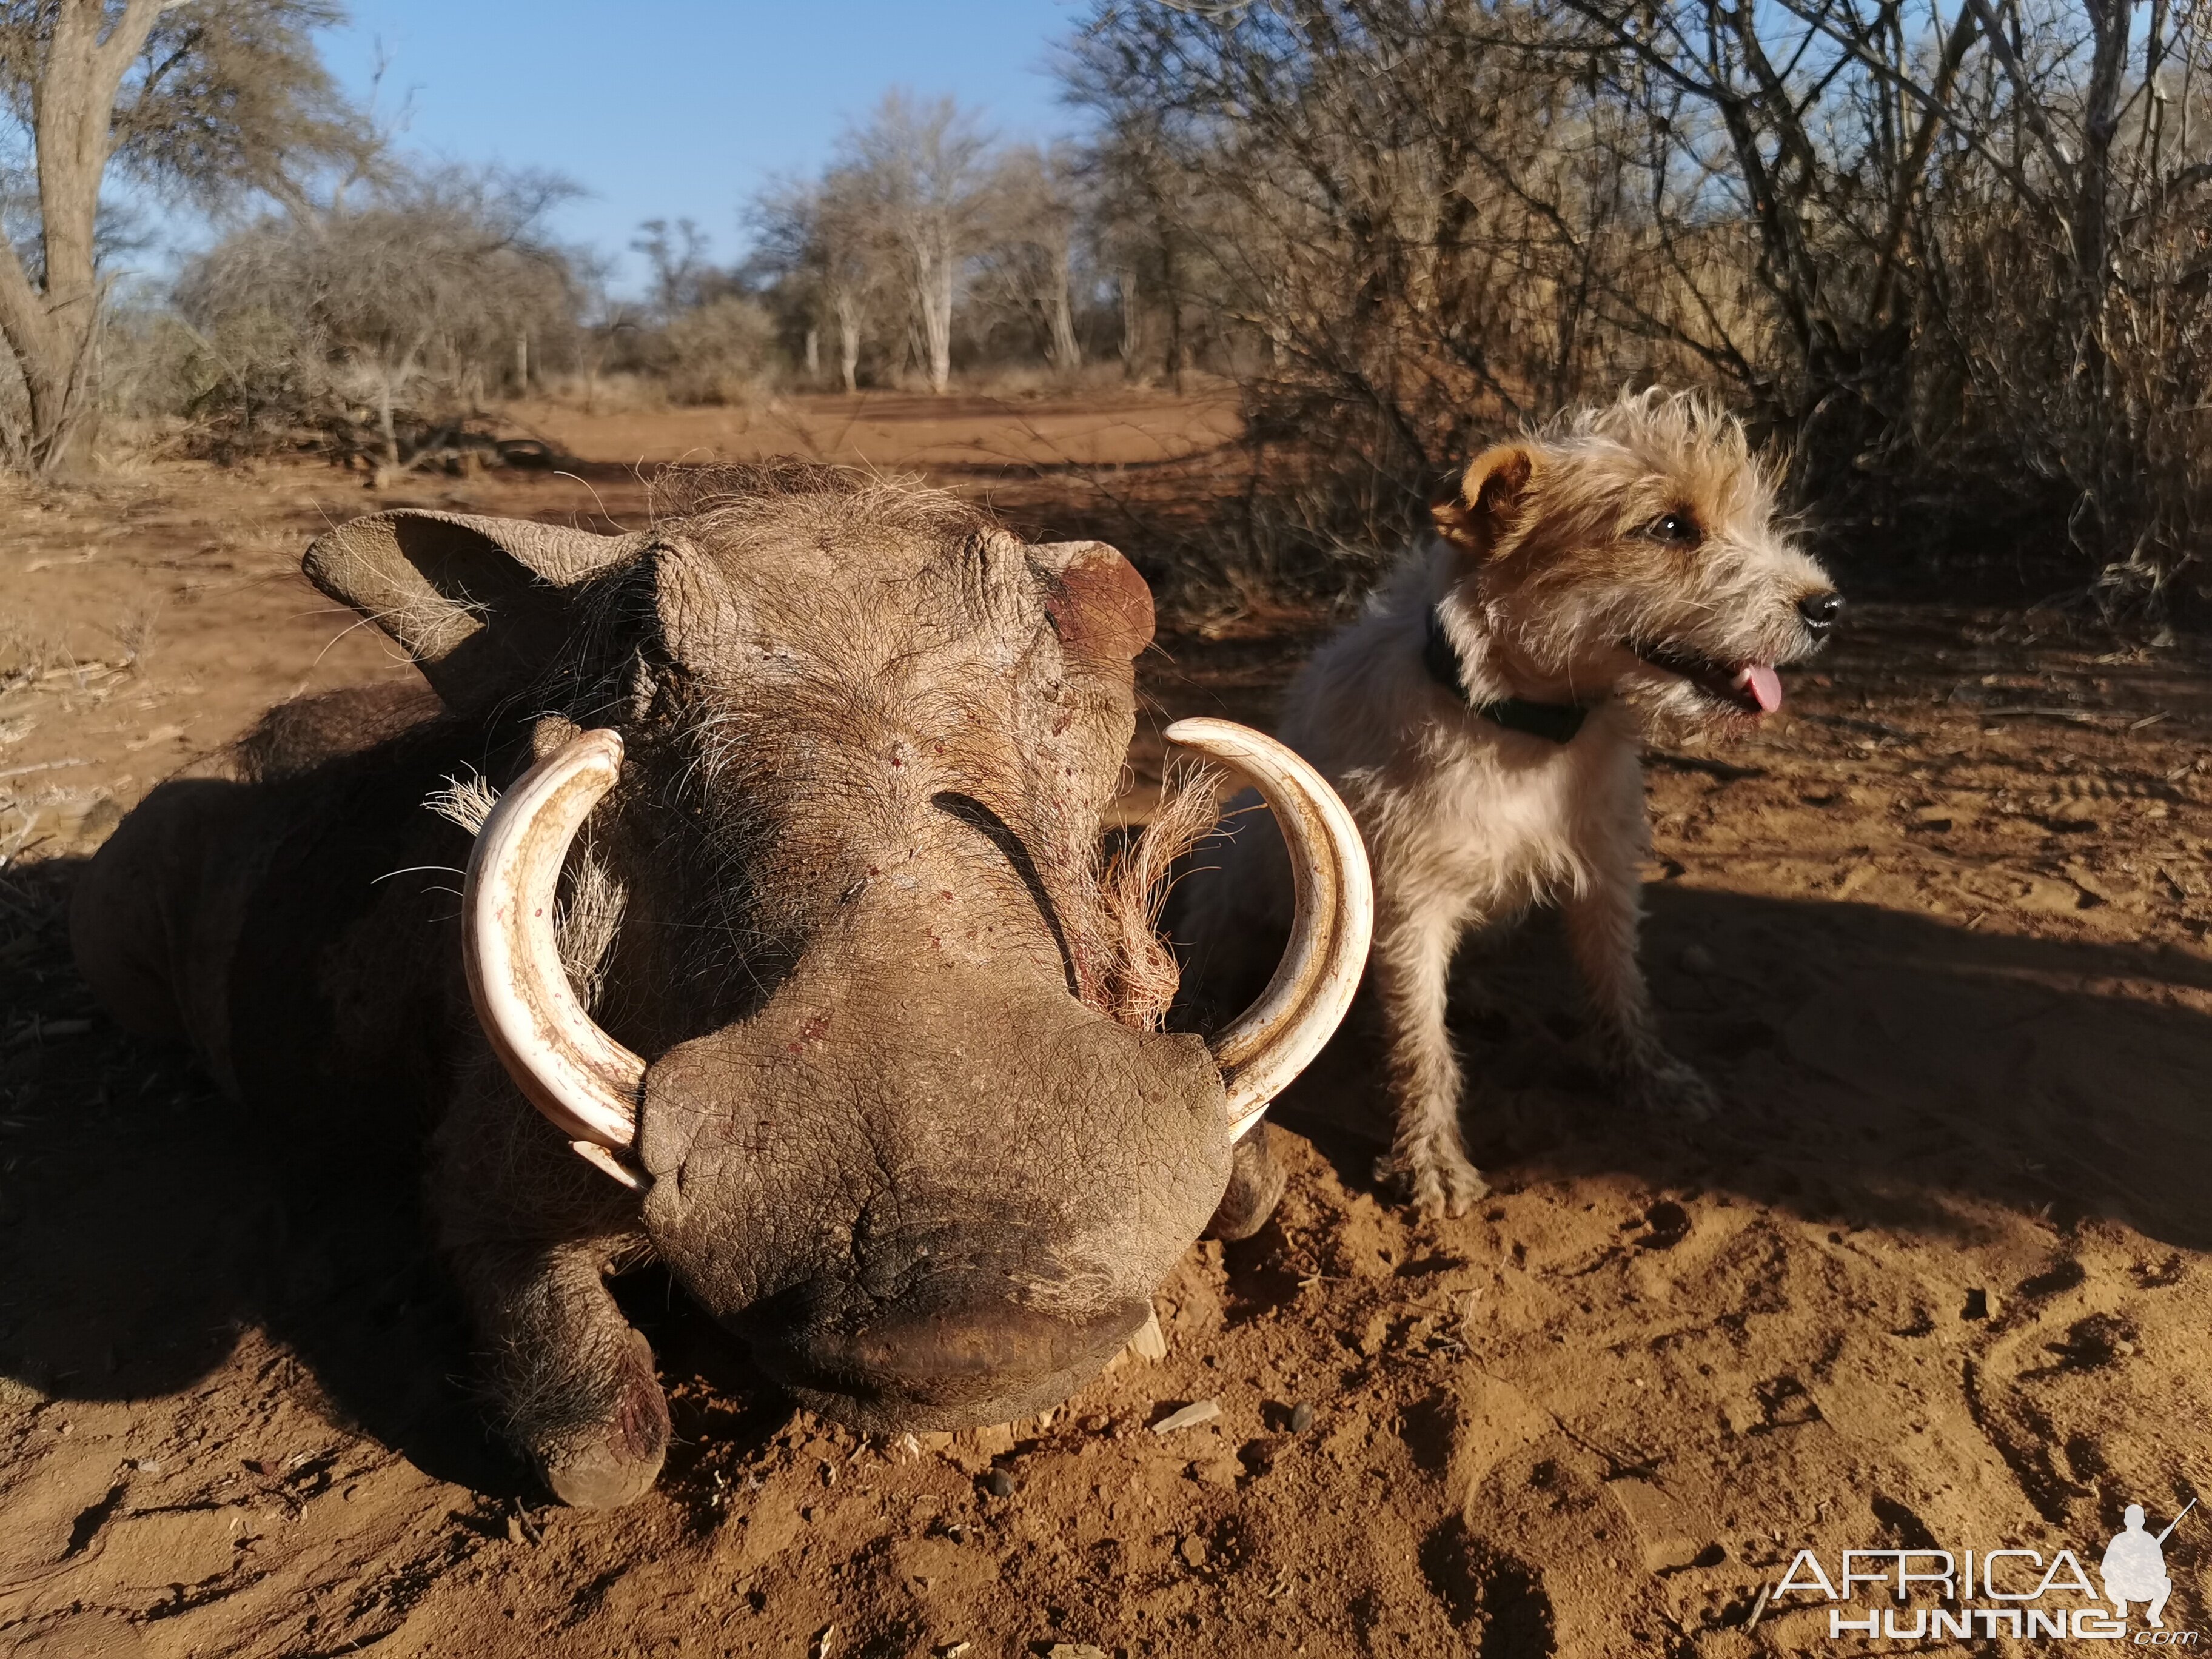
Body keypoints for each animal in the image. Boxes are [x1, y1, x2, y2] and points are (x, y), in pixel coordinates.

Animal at [1185, 391, 1840, 1221]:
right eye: (1669, 528)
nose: (1828, 606)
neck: (1523, 731)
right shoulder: (1408, 908)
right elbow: (1422, 1045)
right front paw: (1432, 1161)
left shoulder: (1605, 877)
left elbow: (1620, 988)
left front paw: (1647, 1078)